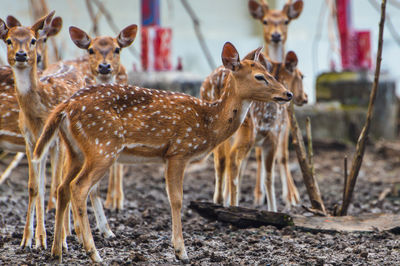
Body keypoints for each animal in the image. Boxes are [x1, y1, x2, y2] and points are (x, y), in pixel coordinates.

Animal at [32, 42, 292, 262]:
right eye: (260, 77)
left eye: (270, 73)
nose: (287, 94)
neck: (208, 123)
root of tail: (66, 107)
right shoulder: (179, 150)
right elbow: (176, 199)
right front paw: (181, 251)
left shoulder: (170, 155)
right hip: (102, 146)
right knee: (78, 187)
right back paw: (93, 253)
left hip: (75, 150)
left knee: (62, 187)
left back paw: (56, 252)